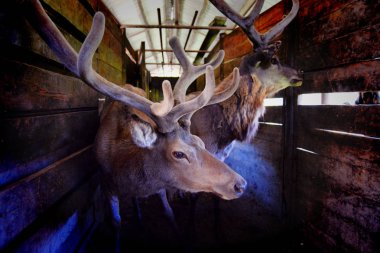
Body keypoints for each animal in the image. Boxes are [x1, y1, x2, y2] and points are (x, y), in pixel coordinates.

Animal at [13, 0, 246, 246]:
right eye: (178, 154)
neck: (126, 168)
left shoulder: (159, 183)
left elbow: (169, 213)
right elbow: (116, 222)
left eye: (200, 143)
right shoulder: (106, 183)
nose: (240, 184)